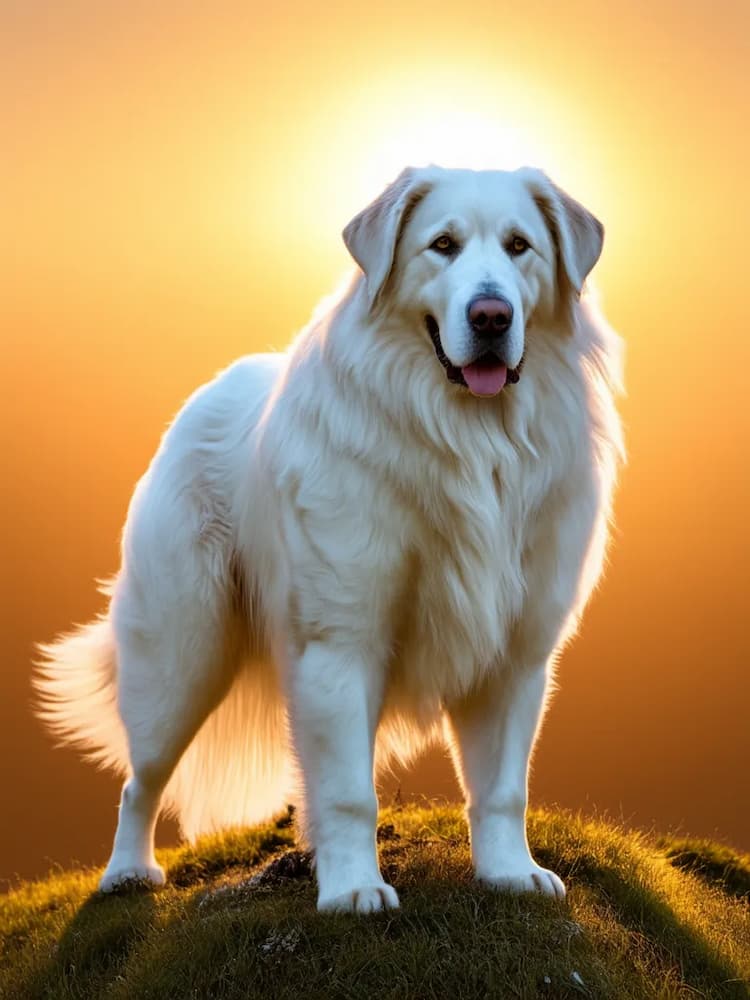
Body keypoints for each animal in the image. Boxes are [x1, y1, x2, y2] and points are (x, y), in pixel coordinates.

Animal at [35, 166, 624, 916]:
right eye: (442, 245)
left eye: (520, 246)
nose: (491, 316)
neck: (467, 436)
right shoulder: (342, 641)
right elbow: (348, 794)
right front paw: (353, 891)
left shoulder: (515, 654)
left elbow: (500, 789)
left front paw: (510, 874)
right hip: (180, 658)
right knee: (141, 778)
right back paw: (127, 872)